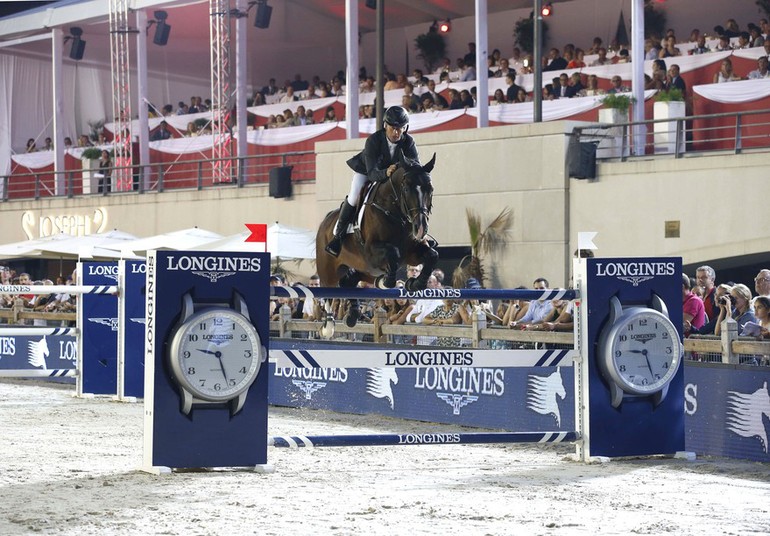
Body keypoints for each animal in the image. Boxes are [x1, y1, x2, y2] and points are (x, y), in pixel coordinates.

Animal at [316, 151, 438, 326]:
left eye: (430, 189)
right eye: (406, 189)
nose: (420, 228)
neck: (396, 214)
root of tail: (325, 222)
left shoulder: (411, 253)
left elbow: (432, 255)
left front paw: (415, 283)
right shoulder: (371, 254)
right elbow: (393, 252)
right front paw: (387, 281)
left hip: (364, 270)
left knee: (349, 281)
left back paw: (352, 315)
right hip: (329, 272)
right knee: (327, 292)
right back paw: (329, 325)